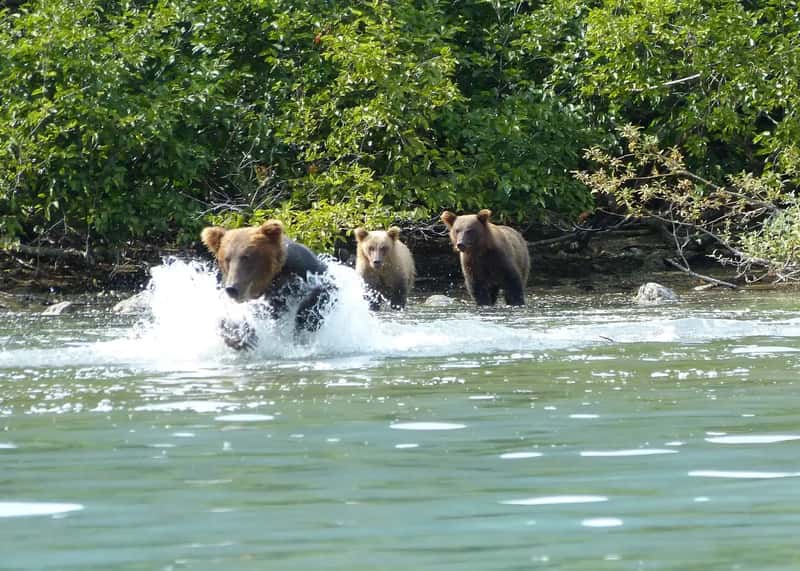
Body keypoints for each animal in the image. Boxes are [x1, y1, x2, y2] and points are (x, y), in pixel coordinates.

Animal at [200, 220, 336, 349]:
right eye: (227, 259)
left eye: (246, 257)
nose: (232, 288)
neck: (269, 280)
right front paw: (242, 336)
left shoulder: (302, 267)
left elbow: (326, 288)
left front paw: (306, 321)